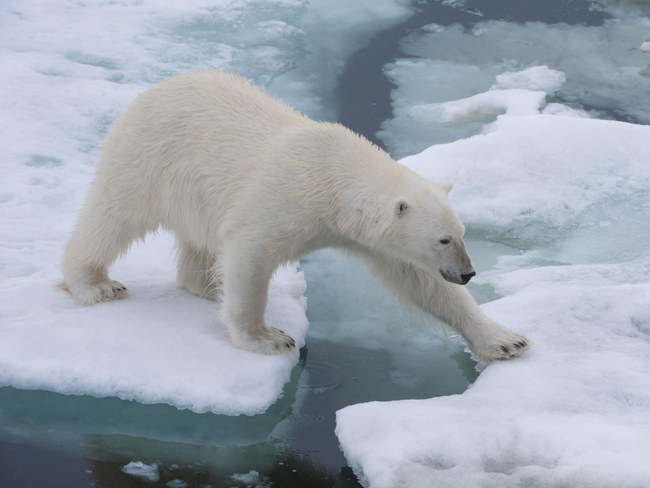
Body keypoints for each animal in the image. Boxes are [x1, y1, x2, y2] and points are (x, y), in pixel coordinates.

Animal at [59, 71, 528, 362]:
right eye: (443, 239)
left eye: (461, 232)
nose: (467, 273)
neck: (333, 175)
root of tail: (157, 87)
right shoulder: (281, 199)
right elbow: (249, 255)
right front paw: (268, 338)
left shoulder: (373, 239)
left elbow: (421, 283)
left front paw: (506, 341)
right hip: (149, 157)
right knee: (113, 216)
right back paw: (96, 284)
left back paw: (207, 285)